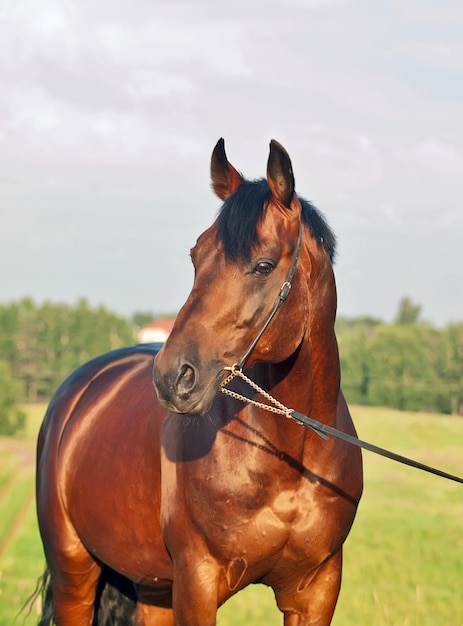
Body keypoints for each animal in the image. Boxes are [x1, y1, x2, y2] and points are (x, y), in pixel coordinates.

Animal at [35, 139, 362, 620]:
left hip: (151, 590)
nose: (172, 377)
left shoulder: (317, 590)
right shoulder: (197, 583)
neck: (289, 457)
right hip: (73, 572)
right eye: (196, 256)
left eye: (263, 265)